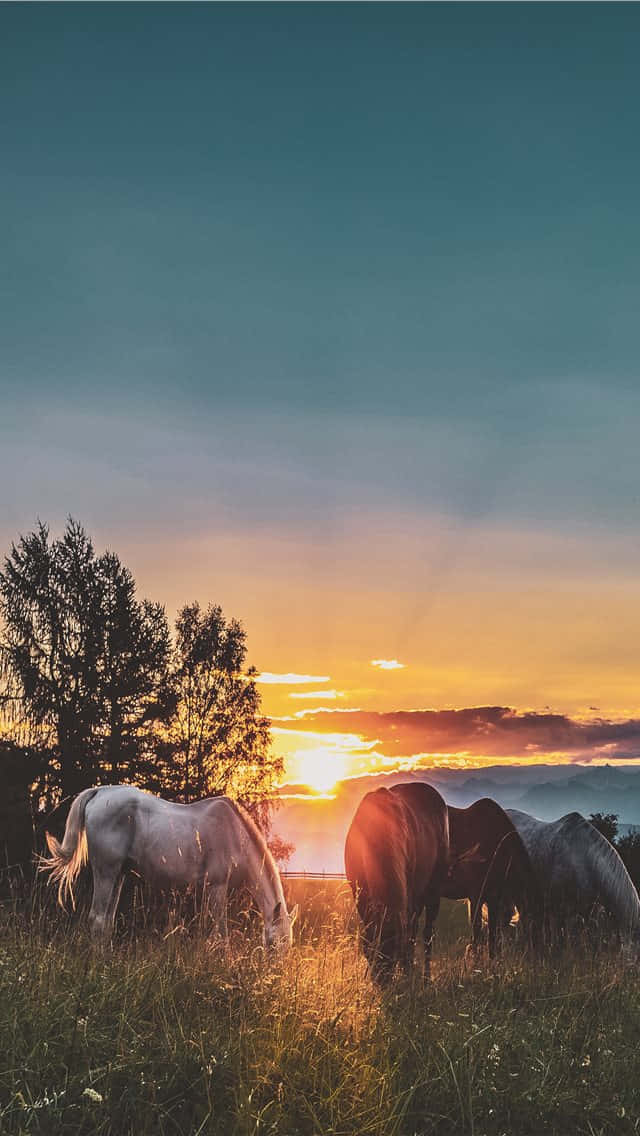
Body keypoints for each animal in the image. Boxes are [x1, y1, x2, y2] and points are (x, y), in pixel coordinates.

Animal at [41, 781, 297, 949]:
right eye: (275, 945)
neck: (235, 834)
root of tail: (99, 792)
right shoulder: (217, 888)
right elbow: (221, 935)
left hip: (118, 875)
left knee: (106, 922)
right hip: (106, 872)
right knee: (97, 919)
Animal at [345, 781, 450, 986]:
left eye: (393, 954)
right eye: (371, 952)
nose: (383, 983)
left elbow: (409, 937)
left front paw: (407, 970)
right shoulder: (360, 895)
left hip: (432, 892)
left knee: (426, 934)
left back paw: (424, 977)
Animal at [443, 799, 543, 958]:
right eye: (535, 927)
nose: (540, 957)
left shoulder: (494, 898)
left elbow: (492, 933)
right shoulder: (476, 896)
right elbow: (477, 932)